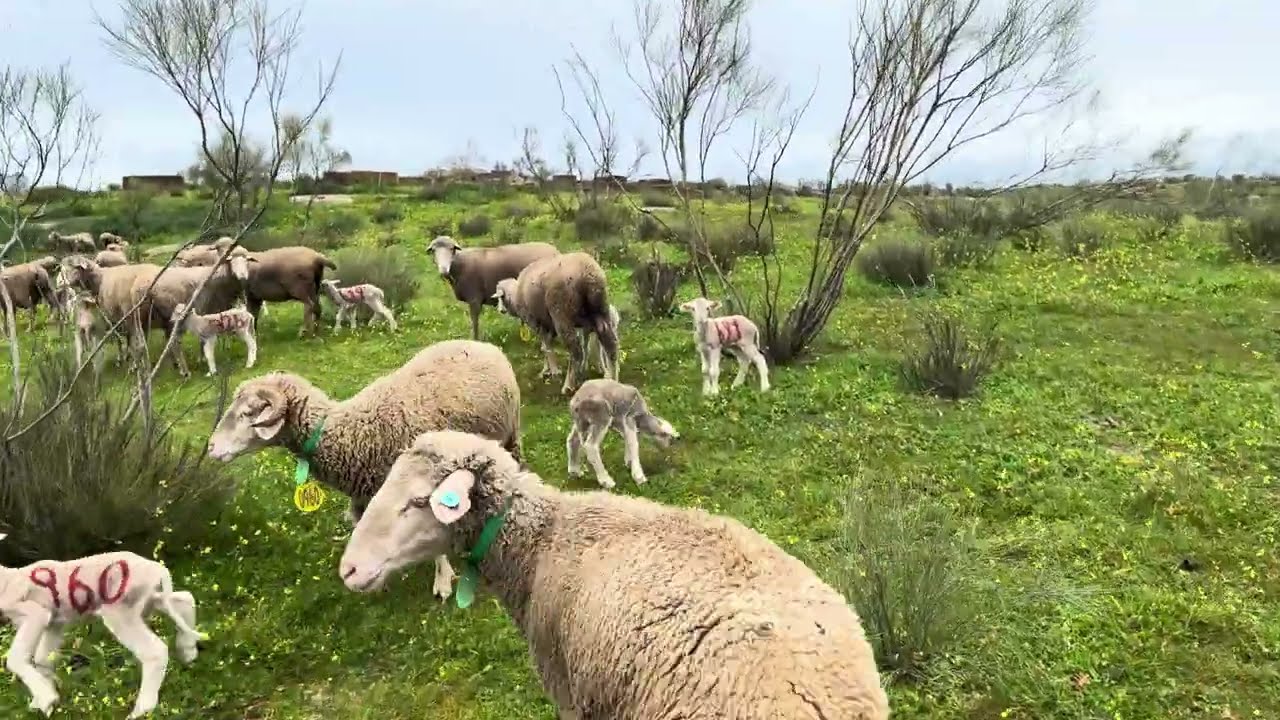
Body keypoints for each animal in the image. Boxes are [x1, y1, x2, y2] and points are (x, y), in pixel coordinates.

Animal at [0, 533, 206, 719]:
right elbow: (43, 658)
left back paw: (141, 710)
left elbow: (16, 659)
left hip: (120, 610)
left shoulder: (36, 615)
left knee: (155, 651)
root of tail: (158, 569)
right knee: (185, 599)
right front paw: (48, 702)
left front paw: (46, 698)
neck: (7, 580)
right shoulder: (54, 623)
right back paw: (188, 653)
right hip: (151, 598)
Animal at [206, 339, 524, 601]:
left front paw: (443, 580)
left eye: (248, 413)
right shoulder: (366, 498)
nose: (210, 447)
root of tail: (479, 343)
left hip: (511, 434)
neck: (353, 432)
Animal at [427, 235, 559, 339]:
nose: (443, 270)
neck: (459, 264)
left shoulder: (474, 299)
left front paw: (475, 340)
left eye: (451, 248)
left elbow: (474, 323)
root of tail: (555, 251)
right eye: (433, 250)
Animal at [492, 251, 620, 394]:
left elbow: (545, 346)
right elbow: (546, 345)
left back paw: (568, 385)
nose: (500, 310)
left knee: (576, 351)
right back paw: (613, 380)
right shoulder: (549, 325)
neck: (515, 295)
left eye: (500, 298)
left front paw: (553, 370)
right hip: (601, 312)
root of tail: (588, 272)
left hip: (561, 313)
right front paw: (546, 369)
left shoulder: (535, 321)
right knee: (611, 346)